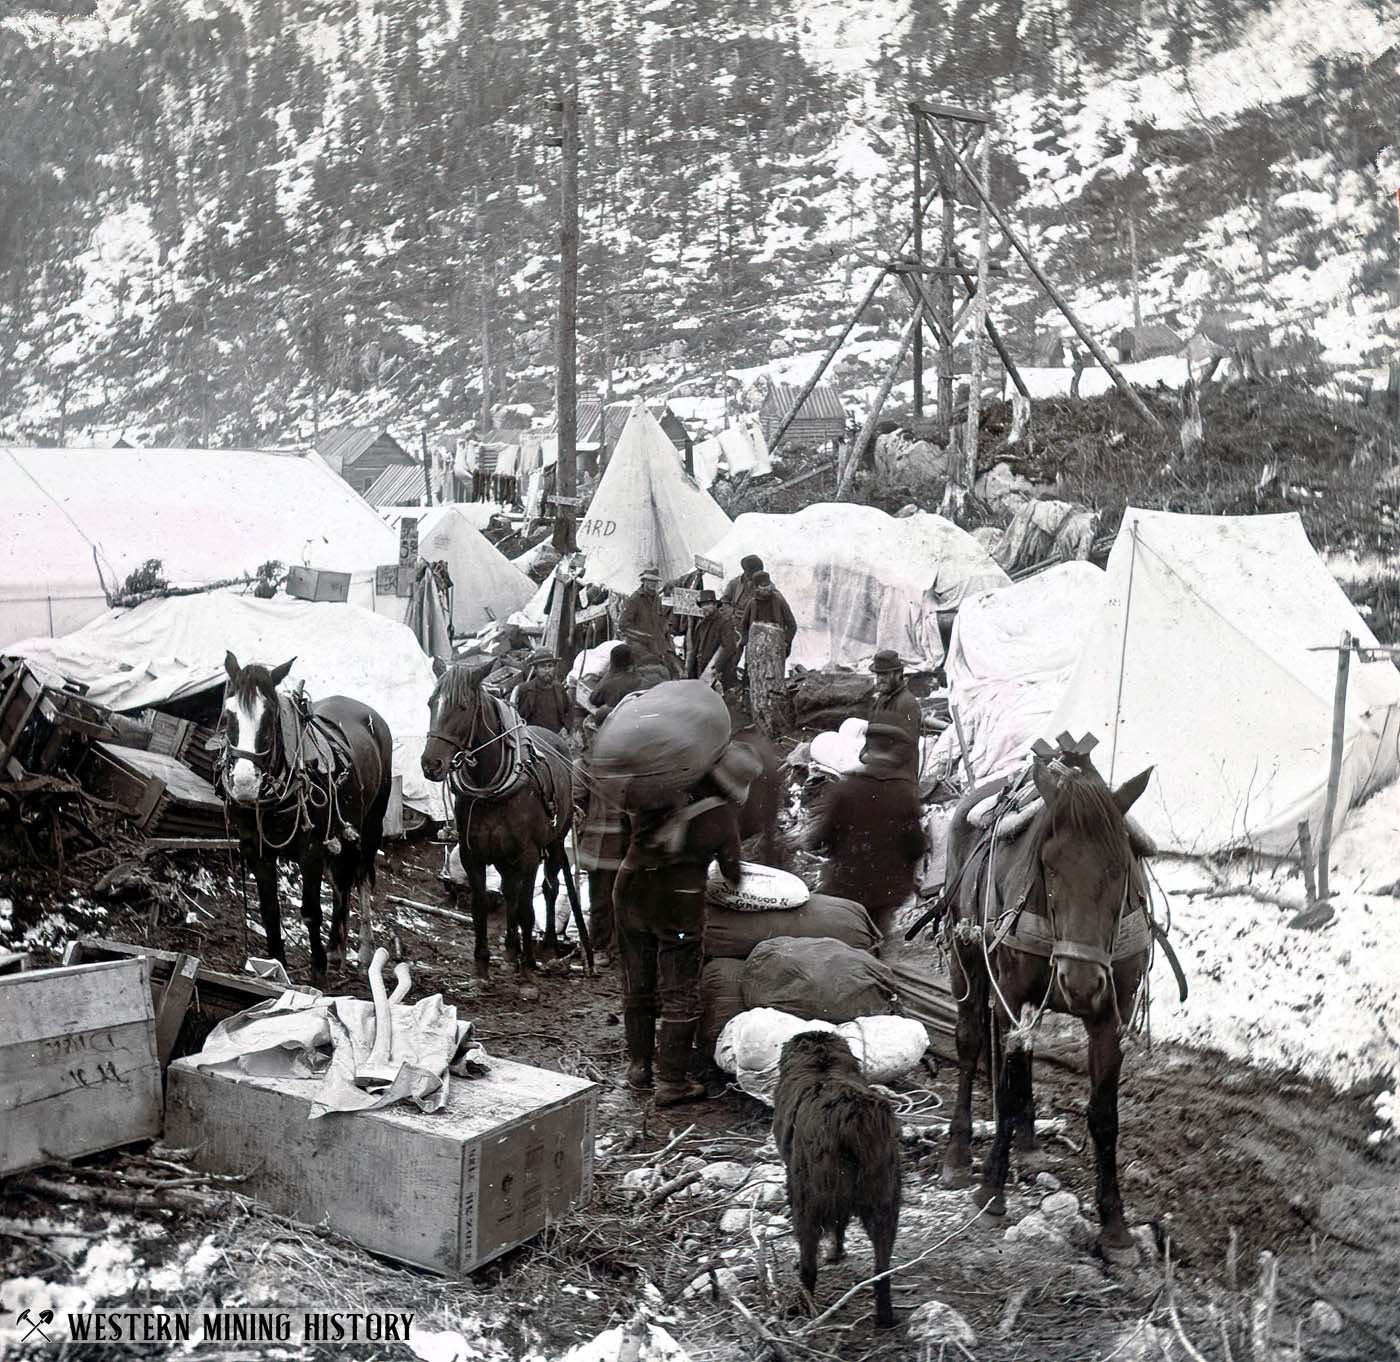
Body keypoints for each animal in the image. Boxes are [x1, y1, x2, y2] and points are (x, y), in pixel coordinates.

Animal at [218, 652, 394, 985]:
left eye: (270, 716)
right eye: (227, 714)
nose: (244, 783)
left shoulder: (310, 848)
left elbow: (311, 909)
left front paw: (318, 967)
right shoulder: (256, 850)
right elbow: (269, 909)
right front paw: (275, 963)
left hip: (370, 825)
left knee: (361, 877)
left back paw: (362, 951)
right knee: (341, 881)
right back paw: (338, 947)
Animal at [420, 652, 585, 979]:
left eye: (462, 706)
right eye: (432, 702)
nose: (431, 764)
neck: (490, 789)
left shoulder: (528, 855)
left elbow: (526, 908)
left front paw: (528, 965)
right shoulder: (473, 854)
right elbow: (481, 904)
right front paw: (483, 962)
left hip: (555, 841)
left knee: (549, 888)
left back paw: (547, 943)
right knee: (510, 892)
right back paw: (511, 948)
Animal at [772, 1035, 901, 1321]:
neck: (823, 1064)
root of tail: (853, 1119)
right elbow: (840, 1225)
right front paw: (837, 1252)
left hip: (808, 1199)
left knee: (809, 1262)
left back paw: (802, 1305)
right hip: (884, 1197)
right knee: (882, 1266)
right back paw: (884, 1316)